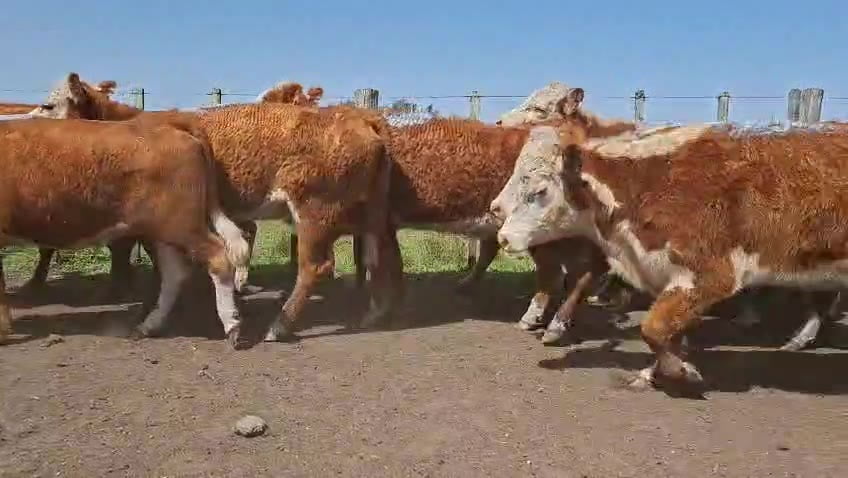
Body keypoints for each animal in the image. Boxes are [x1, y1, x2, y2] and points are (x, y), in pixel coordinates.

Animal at [0, 112, 249, 345]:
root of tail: (167, 122)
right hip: (163, 232)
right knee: (175, 274)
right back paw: (148, 325)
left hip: (183, 226)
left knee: (218, 258)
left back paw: (232, 325)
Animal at [493, 88, 848, 391]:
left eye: (539, 190)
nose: (503, 234)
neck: (650, 182)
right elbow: (666, 331)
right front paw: (655, 371)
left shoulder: (710, 275)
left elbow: (653, 327)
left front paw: (680, 371)